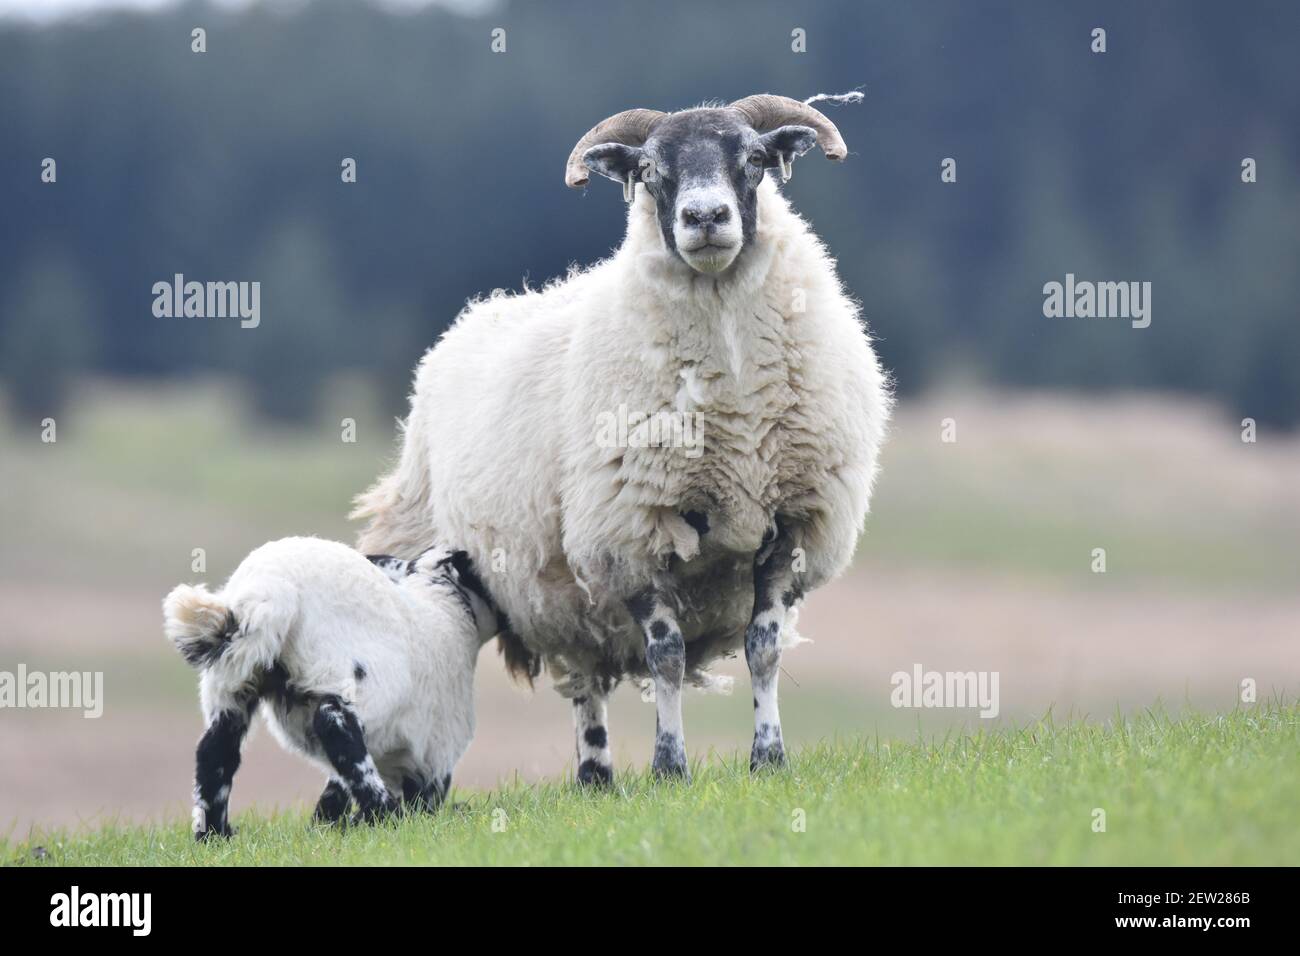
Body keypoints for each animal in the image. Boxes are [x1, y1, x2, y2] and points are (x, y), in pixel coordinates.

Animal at [162, 538, 496, 837]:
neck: (443, 602)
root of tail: (268, 589)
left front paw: (327, 825)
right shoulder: (437, 747)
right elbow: (420, 790)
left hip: (231, 682)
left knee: (215, 750)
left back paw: (214, 835)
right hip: (349, 678)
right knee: (337, 730)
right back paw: (385, 814)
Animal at [351, 93, 889, 785]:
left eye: (754, 158)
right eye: (652, 170)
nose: (705, 217)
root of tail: (475, 315)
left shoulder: (791, 525)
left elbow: (763, 649)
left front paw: (769, 758)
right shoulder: (629, 536)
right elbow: (667, 657)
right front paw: (670, 767)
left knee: (587, 672)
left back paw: (598, 780)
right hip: (489, 565)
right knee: (580, 680)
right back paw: (590, 775)